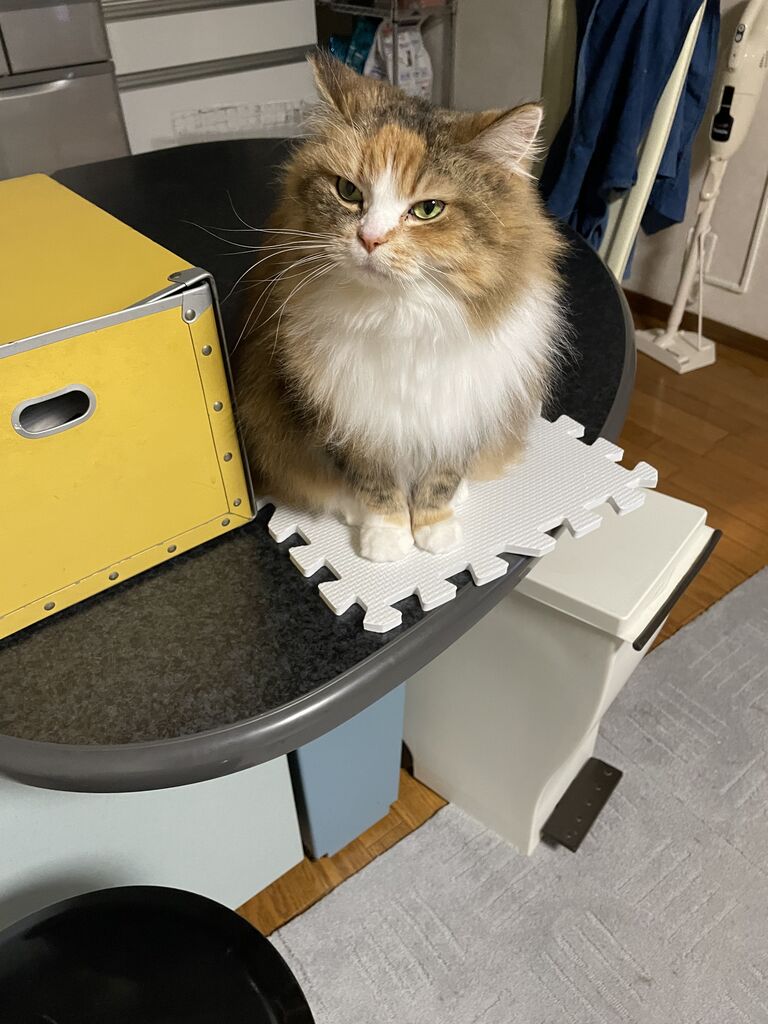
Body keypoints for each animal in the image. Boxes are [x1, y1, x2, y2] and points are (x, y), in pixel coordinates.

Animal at [233, 53, 565, 563]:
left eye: (428, 209)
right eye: (348, 191)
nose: (370, 239)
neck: (403, 319)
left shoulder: (462, 407)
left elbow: (442, 476)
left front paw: (434, 527)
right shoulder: (348, 415)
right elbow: (373, 483)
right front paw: (386, 536)